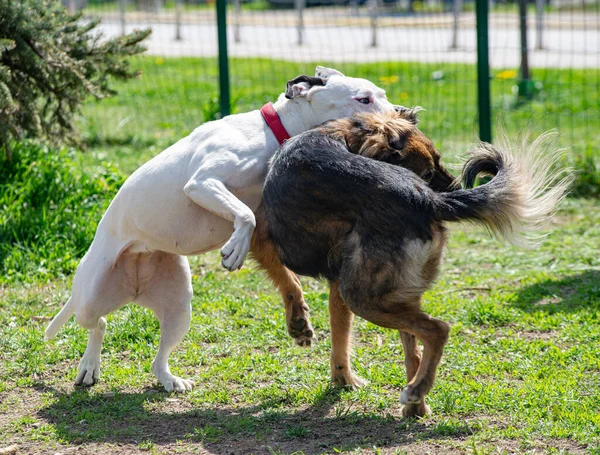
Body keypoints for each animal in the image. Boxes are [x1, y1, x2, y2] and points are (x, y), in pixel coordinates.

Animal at [44, 66, 400, 394]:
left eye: (382, 95)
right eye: (364, 99)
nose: (401, 113)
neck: (272, 131)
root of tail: (134, 282)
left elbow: (277, 259)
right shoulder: (203, 183)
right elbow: (244, 215)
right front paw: (233, 251)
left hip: (179, 309)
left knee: (153, 355)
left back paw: (168, 380)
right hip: (90, 299)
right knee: (99, 323)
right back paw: (90, 365)